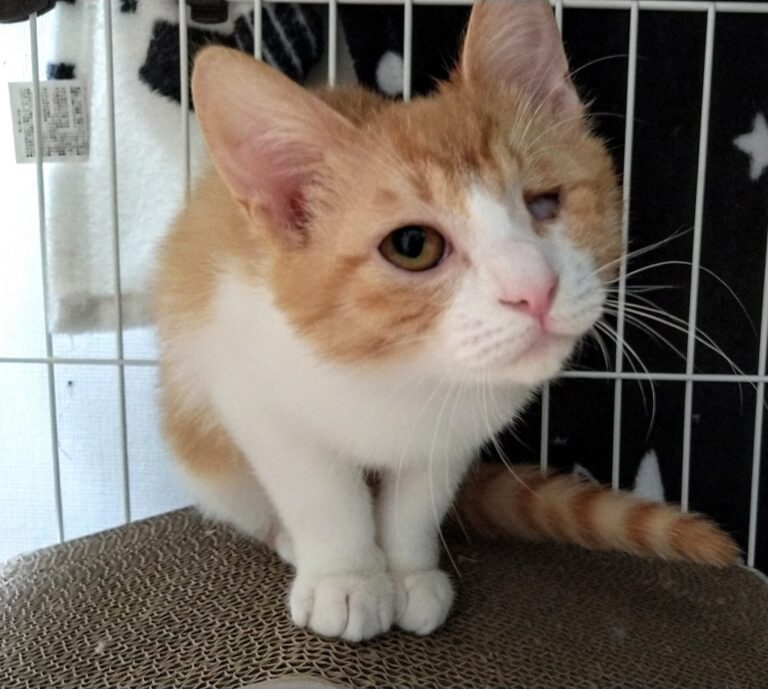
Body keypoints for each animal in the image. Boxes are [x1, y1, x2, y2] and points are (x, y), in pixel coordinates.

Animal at [154, 0, 738, 643]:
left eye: (544, 202)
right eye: (413, 246)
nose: (534, 288)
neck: (397, 373)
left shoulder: (460, 428)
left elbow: (418, 499)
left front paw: (407, 572)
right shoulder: (249, 383)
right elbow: (320, 492)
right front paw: (347, 577)